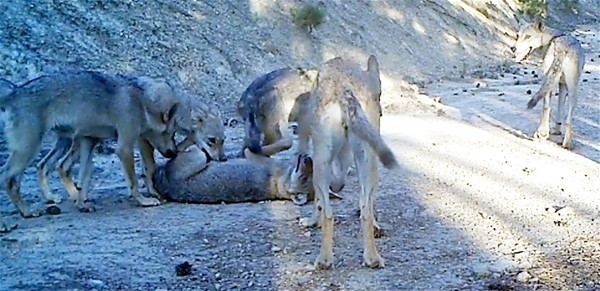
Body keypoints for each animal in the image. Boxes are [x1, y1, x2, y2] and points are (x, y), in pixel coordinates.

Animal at [0, 70, 182, 226]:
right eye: (173, 133)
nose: (174, 153)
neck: (141, 100)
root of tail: (15, 92)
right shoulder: (124, 148)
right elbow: (134, 182)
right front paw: (144, 201)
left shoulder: (89, 142)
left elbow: (84, 180)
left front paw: (82, 204)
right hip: (29, 150)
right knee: (9, 179)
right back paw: (26, 212)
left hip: (61, 144)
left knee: (44, 166)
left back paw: (52, 198)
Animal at [296, 55, 398, 272]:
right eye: (380, 95)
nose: (381, 112)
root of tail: (344, 89)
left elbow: (318, 203)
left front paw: (311, 222)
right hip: (369, 165)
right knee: (366, 212)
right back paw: (372, 258)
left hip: (322, 165)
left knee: (328, 213)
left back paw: (324, 260)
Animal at [510, 20, 584, 151]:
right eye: (517, 36)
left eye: (527, 36)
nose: (513, 48)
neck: (552, 38)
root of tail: (561, 47)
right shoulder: (563, 86)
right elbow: (561, 110)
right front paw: (557, 131)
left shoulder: (560, 85)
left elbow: (558, 109)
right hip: (573, 90)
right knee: (568, 118)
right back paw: (567, 143)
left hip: (548, 82)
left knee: (546, 107)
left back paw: (542, 134)